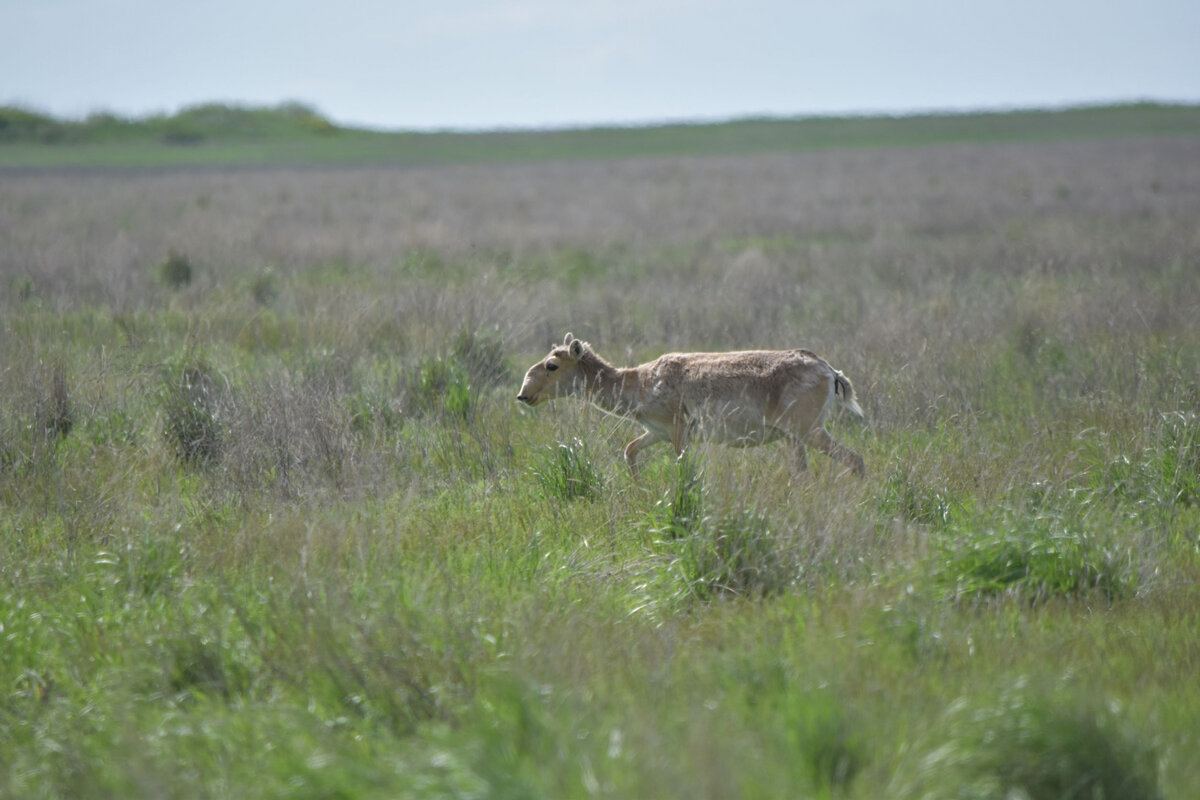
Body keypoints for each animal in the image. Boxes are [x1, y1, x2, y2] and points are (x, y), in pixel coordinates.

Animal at [516, 331, 864, 474]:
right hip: (796, 438)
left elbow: (684, 468)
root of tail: (830, 370)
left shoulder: (678, 432)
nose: (523, 394)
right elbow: (629, 450)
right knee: (808, 472)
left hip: (808, 431)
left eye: (552, 365)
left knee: (854, 459)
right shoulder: (655, 432)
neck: (639, 383)